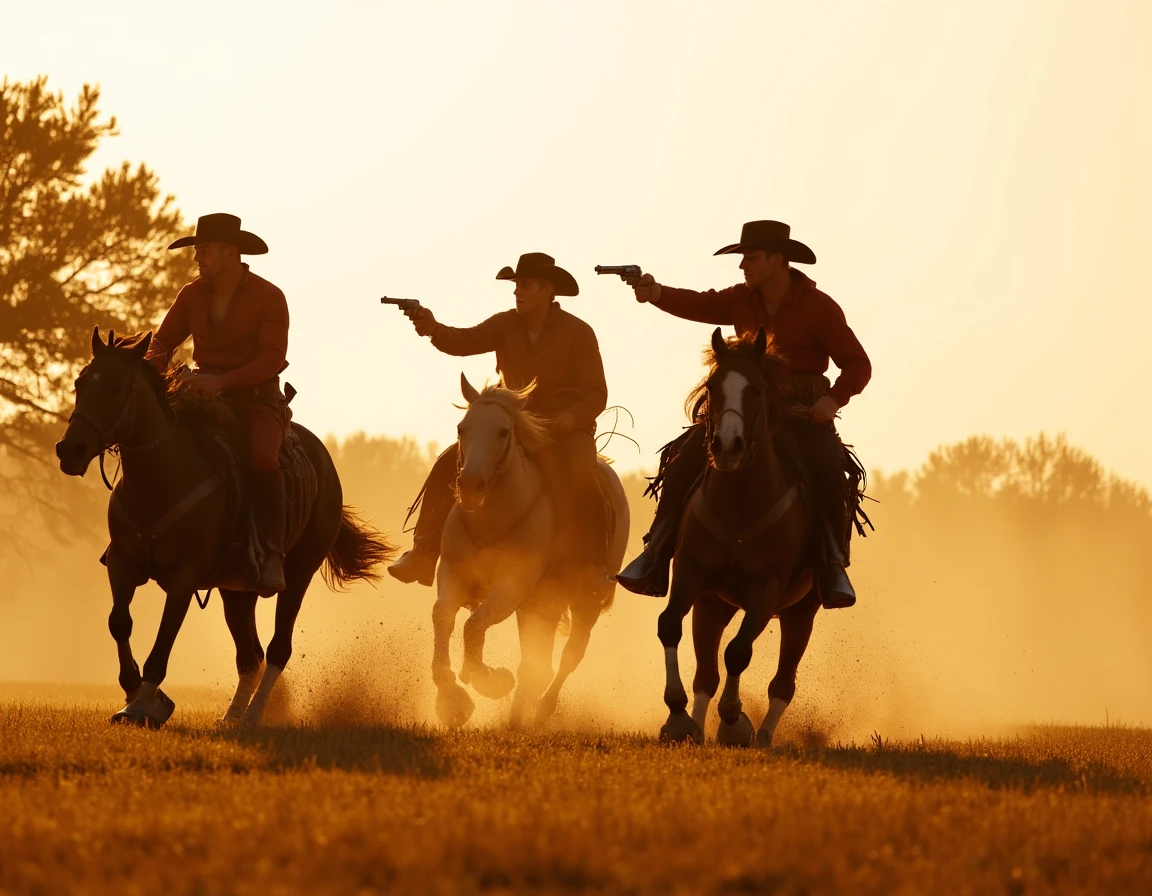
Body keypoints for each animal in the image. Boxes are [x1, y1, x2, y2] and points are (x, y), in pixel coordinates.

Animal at [55, 327, 396, 727]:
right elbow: (119, 623)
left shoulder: (184, 578)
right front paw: (134, 696)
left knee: (278, 649)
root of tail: (325, 465)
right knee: (250, 655)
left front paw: (143, 705)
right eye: (80, 382)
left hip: (298, 574)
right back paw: (232, 716)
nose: (71, 450)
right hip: (236, 591)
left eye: (115, 387)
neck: (161, 480)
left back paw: (253, 716)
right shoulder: (123, 565)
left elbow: (164, 640)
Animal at [433, 370, 631, 727]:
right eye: (461, 428)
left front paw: (489, 680)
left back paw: (541, 711)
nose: (470, 486)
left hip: (585, 601)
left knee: (570, 655)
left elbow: (474, 625)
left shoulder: (513, 585)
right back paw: (516, 717)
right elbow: (443, 616)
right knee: (535, 662)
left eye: (503, 431)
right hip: (541, 604)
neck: (494, 520)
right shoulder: (453, 573)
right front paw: (451, 699)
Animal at [658, 327, 820, 746]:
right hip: (713, 605)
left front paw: (733, 721)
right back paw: (697, 726)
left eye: (758, 390)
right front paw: (678, 717)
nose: (726, 446)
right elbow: (669, 625)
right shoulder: (690, 574)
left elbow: (738, 652)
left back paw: (761, 735)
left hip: (801, 611)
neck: (738, 506)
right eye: (713, 386)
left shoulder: (767, 590)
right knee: (706, 675)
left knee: (782, 684)